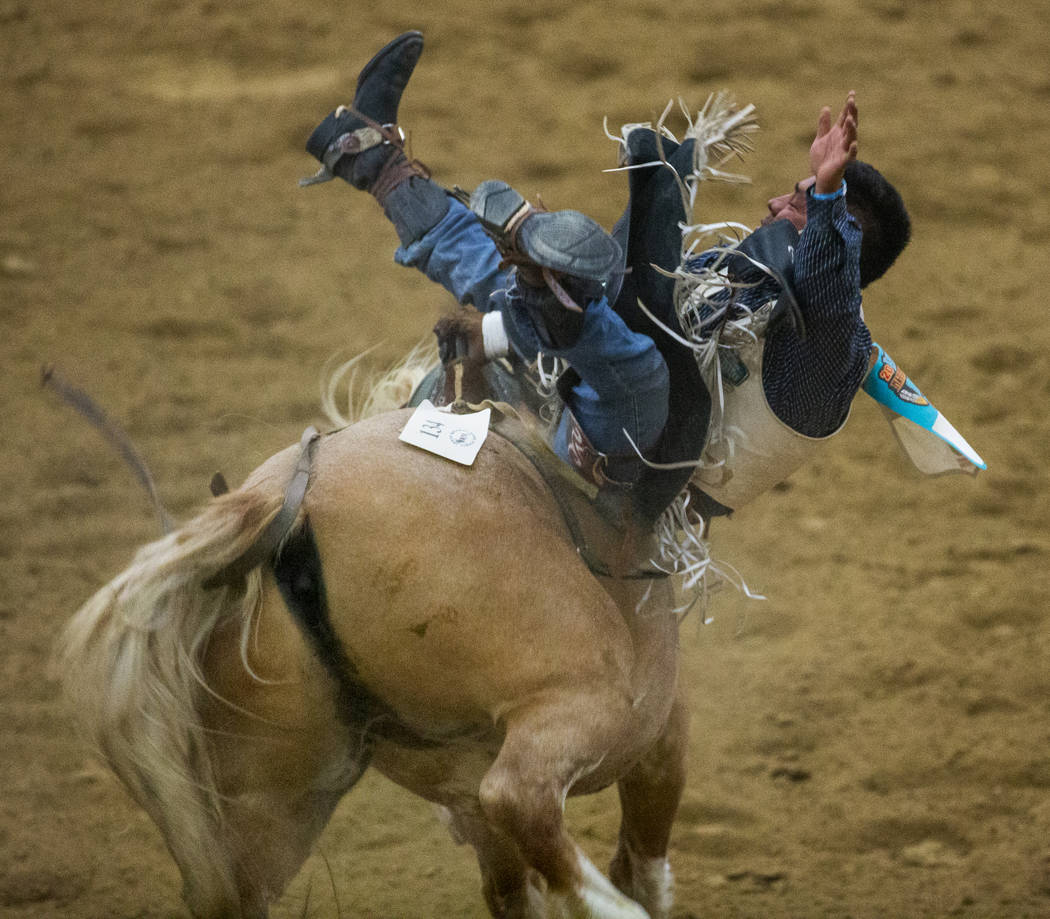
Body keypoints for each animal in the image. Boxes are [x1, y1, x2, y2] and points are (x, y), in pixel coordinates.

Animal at [61, 365, 692, 911]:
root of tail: (278, 509)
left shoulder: (460, 787)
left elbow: (514, 889)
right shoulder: (658, 727)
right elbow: (643, 860)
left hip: (269, 799)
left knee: (226, 889)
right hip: (588, 698)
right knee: (521, 796)